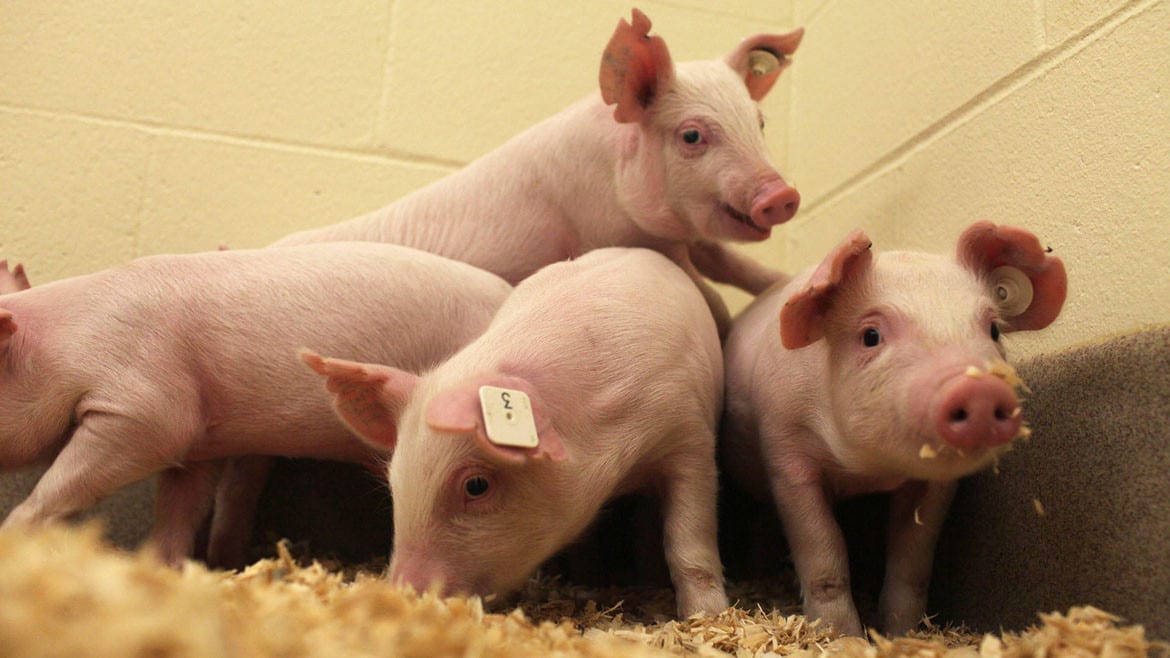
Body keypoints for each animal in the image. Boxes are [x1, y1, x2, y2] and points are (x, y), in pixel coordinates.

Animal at [0, 243, 511, 565]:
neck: (63, 349)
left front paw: (12, 538)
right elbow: (179, 506)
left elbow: (63, 481)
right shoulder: (201, 440)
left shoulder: (148, 407)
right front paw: (164, 567)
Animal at [302, 247, 728, 617]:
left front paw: (706, 616)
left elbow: (689, 542)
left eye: (476, 485)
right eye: (394, 482)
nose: (404, 593)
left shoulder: (690, 437)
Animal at [719, 223, 1068, 636]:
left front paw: (902, 634)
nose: (979, 388)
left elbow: (912, 561)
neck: (867, 473)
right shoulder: (786, 454)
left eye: (994, 330)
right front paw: (844, 637)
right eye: (871, 335)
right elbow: (824, 556)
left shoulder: (935, 486)